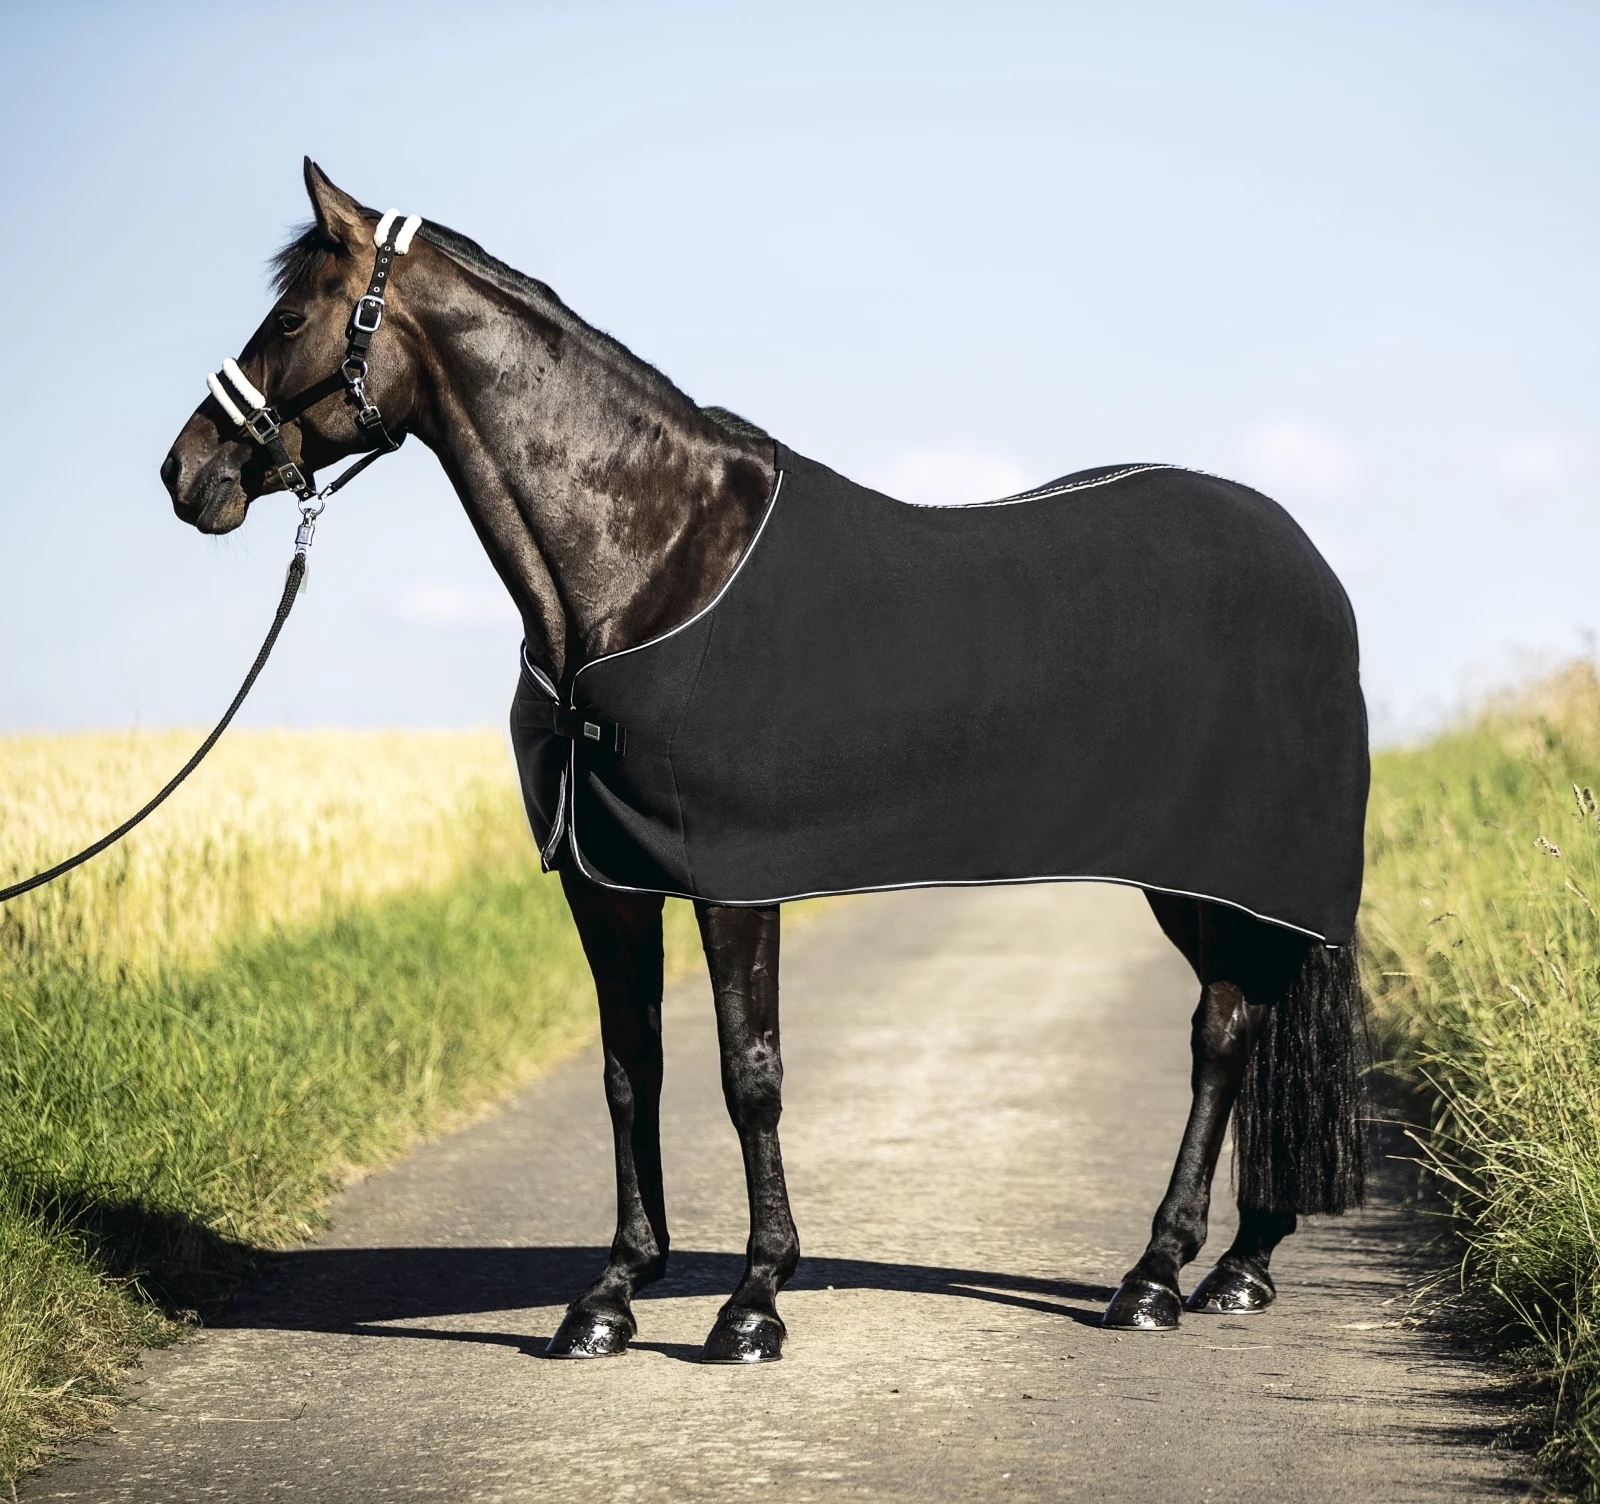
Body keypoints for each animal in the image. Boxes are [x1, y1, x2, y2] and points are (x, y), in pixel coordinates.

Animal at [162, 160, 1369, 1364]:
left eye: (290, 317)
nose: (185, 471)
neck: (646, 566)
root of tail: (1304, 558)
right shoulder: (605, 880)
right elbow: (629, 1069)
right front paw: (610, 1294)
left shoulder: (734, 880)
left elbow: (750, 1076)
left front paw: (752, 1301)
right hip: (1205, 879)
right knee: (1248, 1023)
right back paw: (1239, 1265)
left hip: (1219, 868)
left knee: (1220, 1034)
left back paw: (1157, 1274)